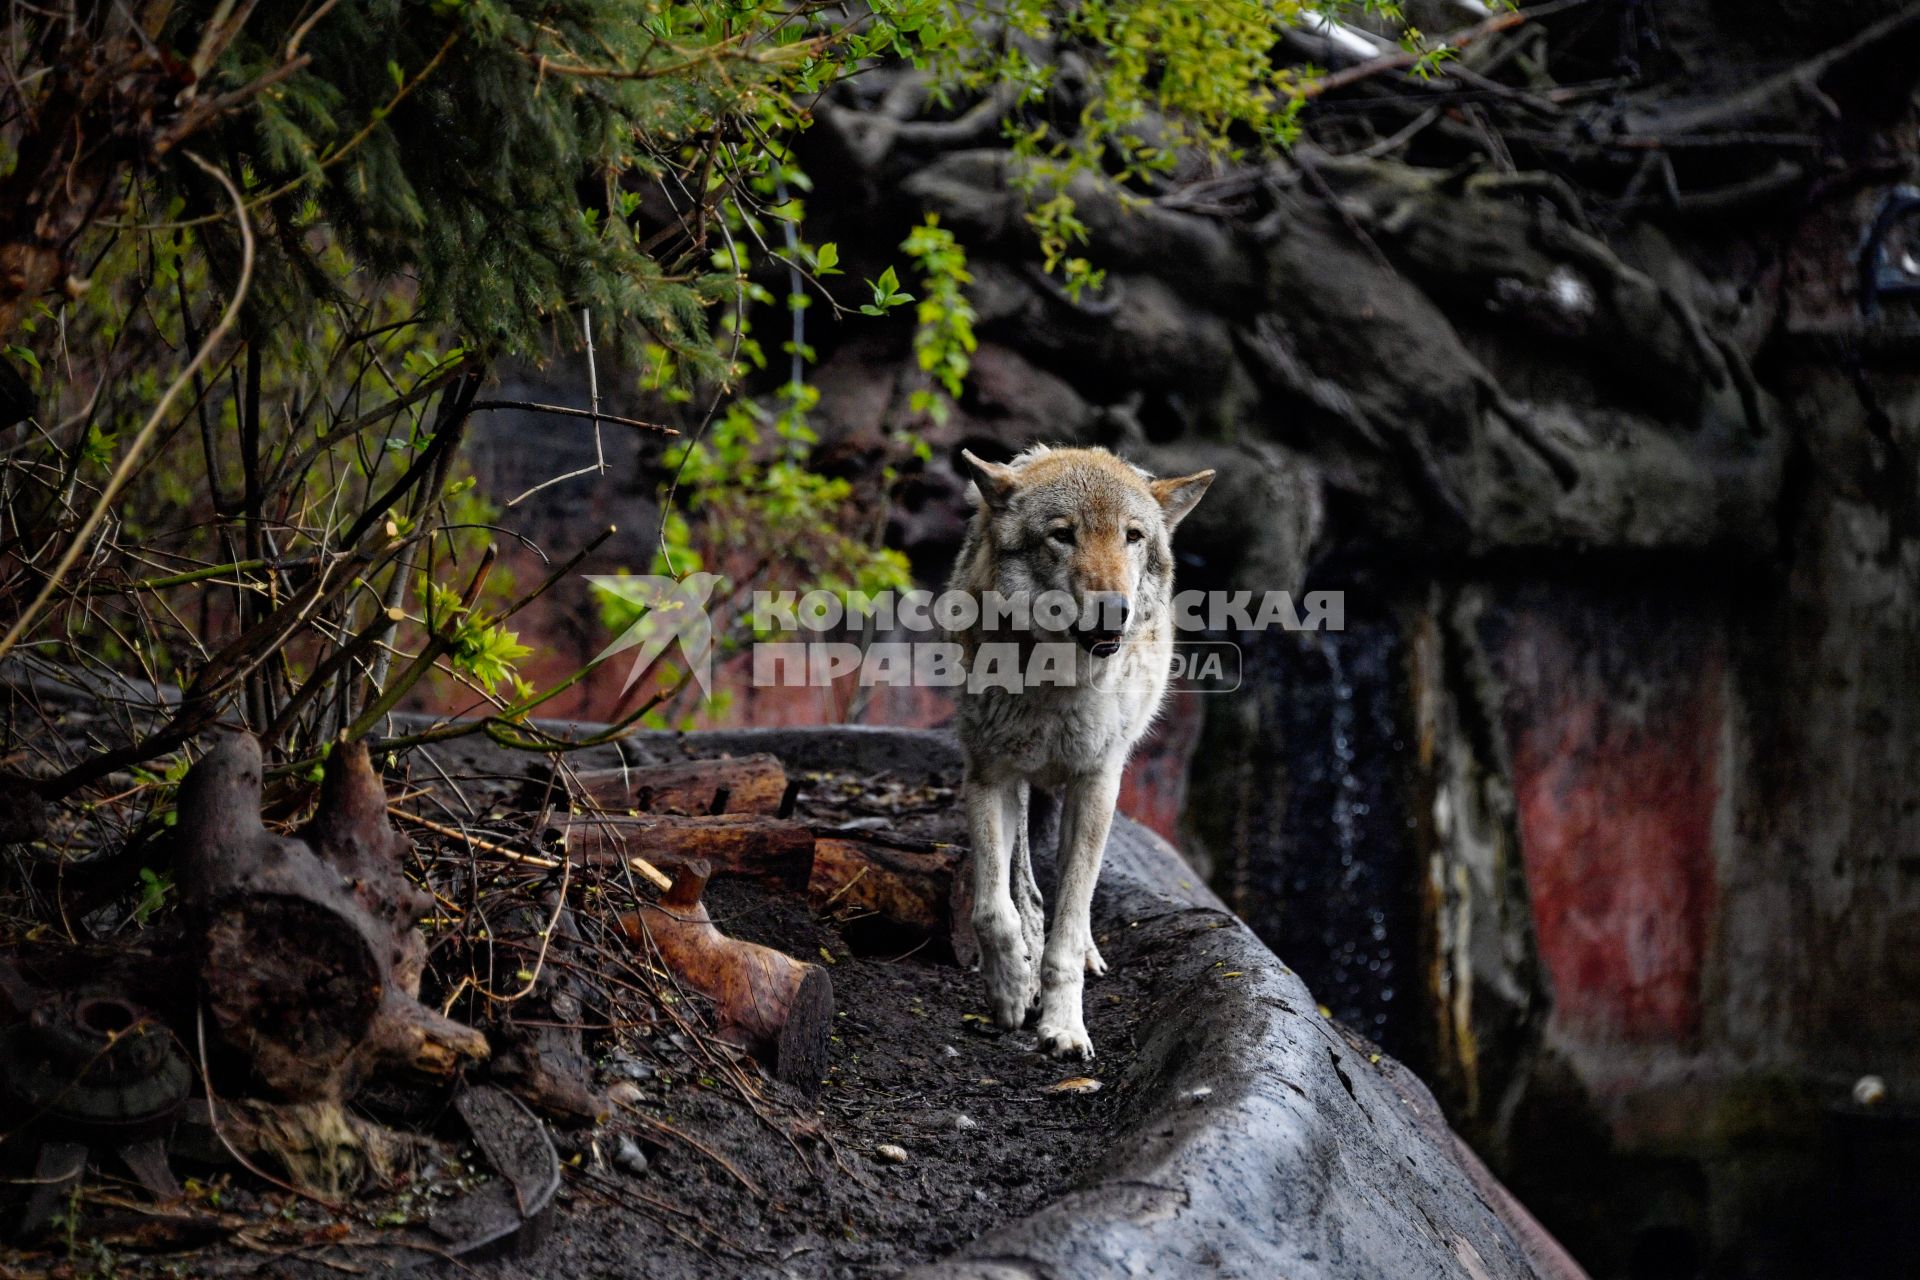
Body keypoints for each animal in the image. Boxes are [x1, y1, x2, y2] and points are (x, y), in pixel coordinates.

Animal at [948, 445, 1205, 1059]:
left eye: (1132, 536)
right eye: (1063, 535)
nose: (1114, 609)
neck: (1056, 684)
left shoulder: (1096, 783)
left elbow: (1070, 919)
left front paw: (1064, 1026)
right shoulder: (988, 776)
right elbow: (994, 908)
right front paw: (1011, 989)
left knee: (1072, 896)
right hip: (1020, 788)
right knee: (1026, 889)